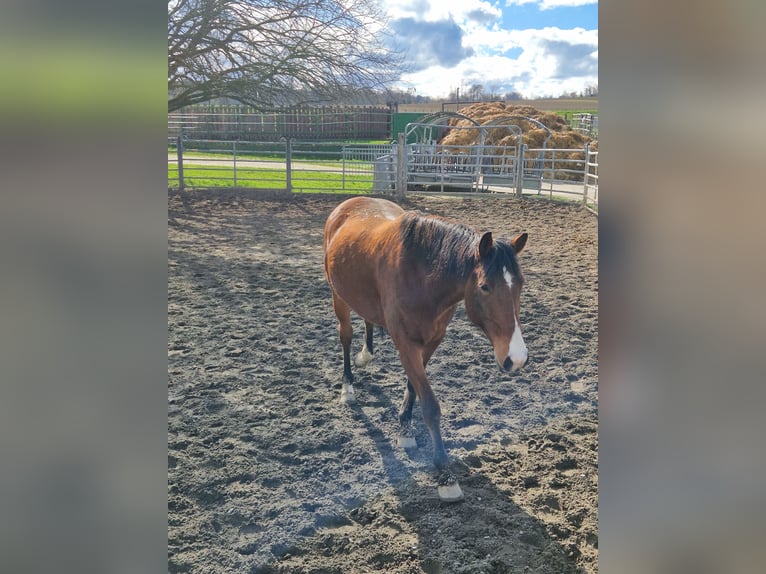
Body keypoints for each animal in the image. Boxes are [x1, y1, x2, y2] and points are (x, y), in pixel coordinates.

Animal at [323, 196, 528, 502]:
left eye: (521, 285)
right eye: (485, 286)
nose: (517, 358)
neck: (422, 276)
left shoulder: (432, 341)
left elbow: (413, 386)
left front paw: (405, 427)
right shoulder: (405, 343)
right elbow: (430, 405)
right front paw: (445, 475)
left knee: (368, 319)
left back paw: (366, 355)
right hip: (338, 296)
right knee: (345, 336)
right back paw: (348, 386)